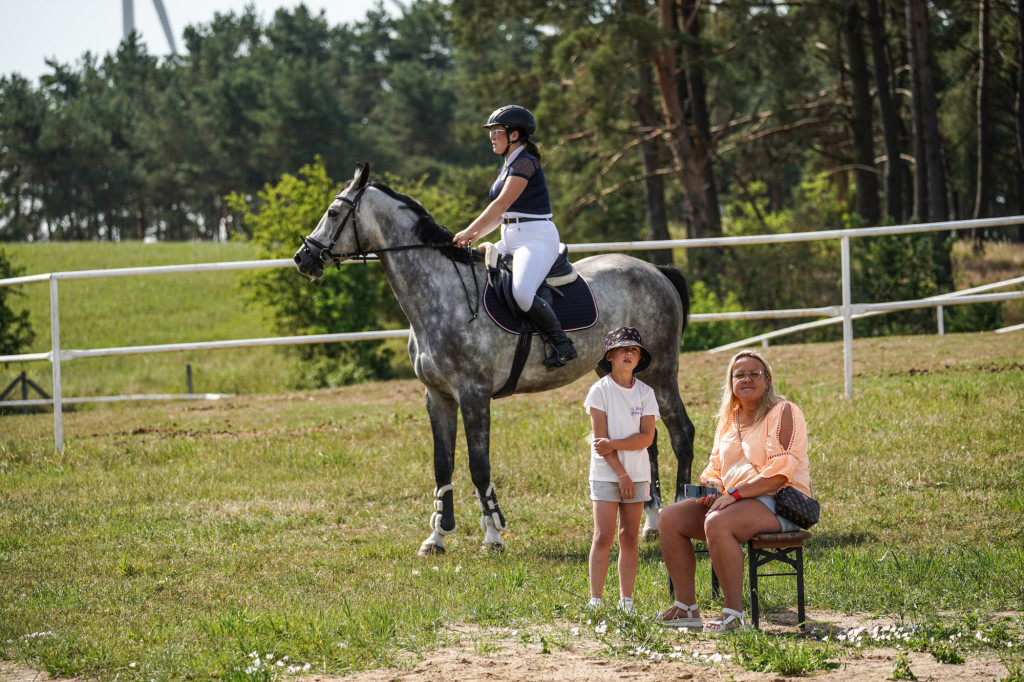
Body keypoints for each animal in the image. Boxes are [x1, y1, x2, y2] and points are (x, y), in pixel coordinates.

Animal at [296, 163, 696, 552]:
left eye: (333, 212)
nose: (303, 257)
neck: (441, 296)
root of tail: (655, 270)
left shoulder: (473, 394)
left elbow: (479, 465)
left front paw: (493, 535)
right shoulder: (437, 397)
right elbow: (442, 464)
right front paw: (437, 537)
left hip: (660, 372)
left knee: (680, 433)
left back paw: (678, 513)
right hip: (618, 371)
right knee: (647, 442)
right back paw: (649, 523)